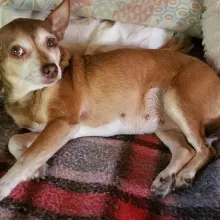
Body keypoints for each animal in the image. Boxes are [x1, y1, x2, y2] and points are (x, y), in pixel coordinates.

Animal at [0, 0, 218, 199]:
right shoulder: (60, 131)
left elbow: (27, 159)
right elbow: (16, 141)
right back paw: (166, 178)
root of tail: (213, 73)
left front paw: (5, 186)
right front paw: (37, 169)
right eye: (16, 51)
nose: (53, 69)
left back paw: (186, 175)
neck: (32, 94)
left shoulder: (62, 124)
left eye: (51, 42)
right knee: (185, 150)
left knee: (206, 149)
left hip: (176, 101)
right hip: (162, 123)